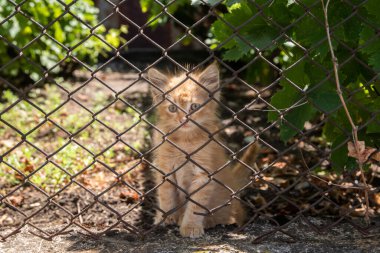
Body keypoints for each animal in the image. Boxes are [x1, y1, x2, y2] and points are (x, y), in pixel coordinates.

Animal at [148, 62, 258, 238]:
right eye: (172, 108)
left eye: (194, 107)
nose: (183, 120)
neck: (184, 141)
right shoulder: (165, 169)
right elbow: (165, 195)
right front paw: (165, 217)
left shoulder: (203, 174)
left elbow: (195, 204)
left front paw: (190, 226)